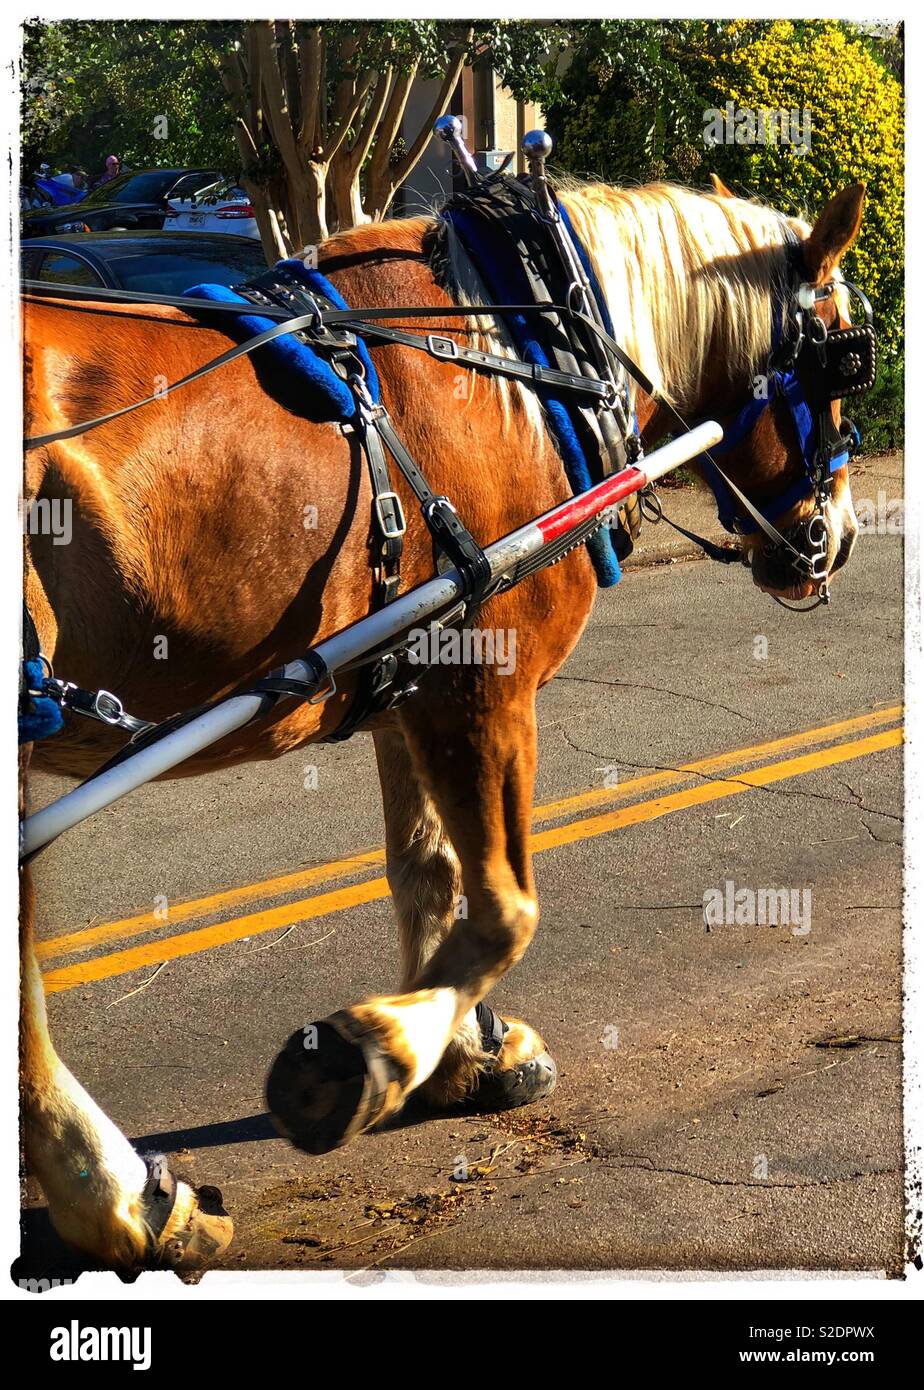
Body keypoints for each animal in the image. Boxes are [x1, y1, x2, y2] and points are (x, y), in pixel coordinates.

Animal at [20, 174, 865, 1270]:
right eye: (844, 354)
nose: (834, 539)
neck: (521, 365)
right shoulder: (485, 684)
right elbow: (505, 906)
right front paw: (373, 1052)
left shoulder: (408, 691)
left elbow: (428, 873)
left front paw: (465, 1055)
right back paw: (114, 1196)